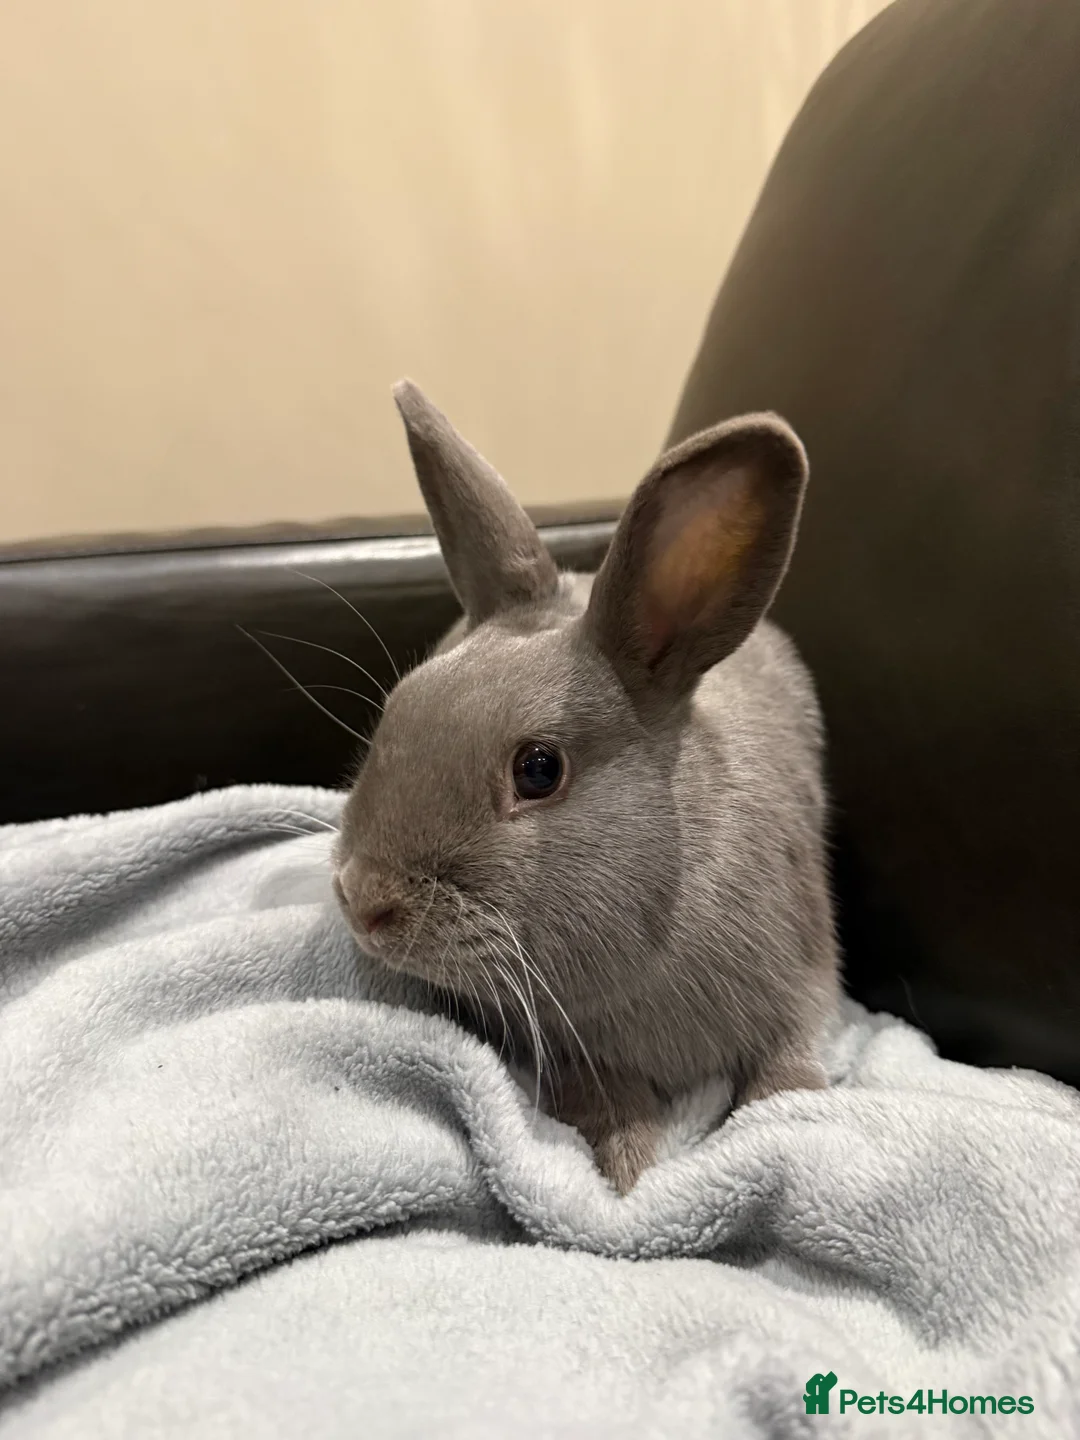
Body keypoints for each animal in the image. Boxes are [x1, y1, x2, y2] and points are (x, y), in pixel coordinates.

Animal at [332, 379, 841, 1194]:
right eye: (396, 709)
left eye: (539, 769)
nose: (364, 900)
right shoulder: (578, 1055)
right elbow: (612, 1105)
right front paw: (630, 1174)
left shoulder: (801, 983)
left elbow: (786, 1074)